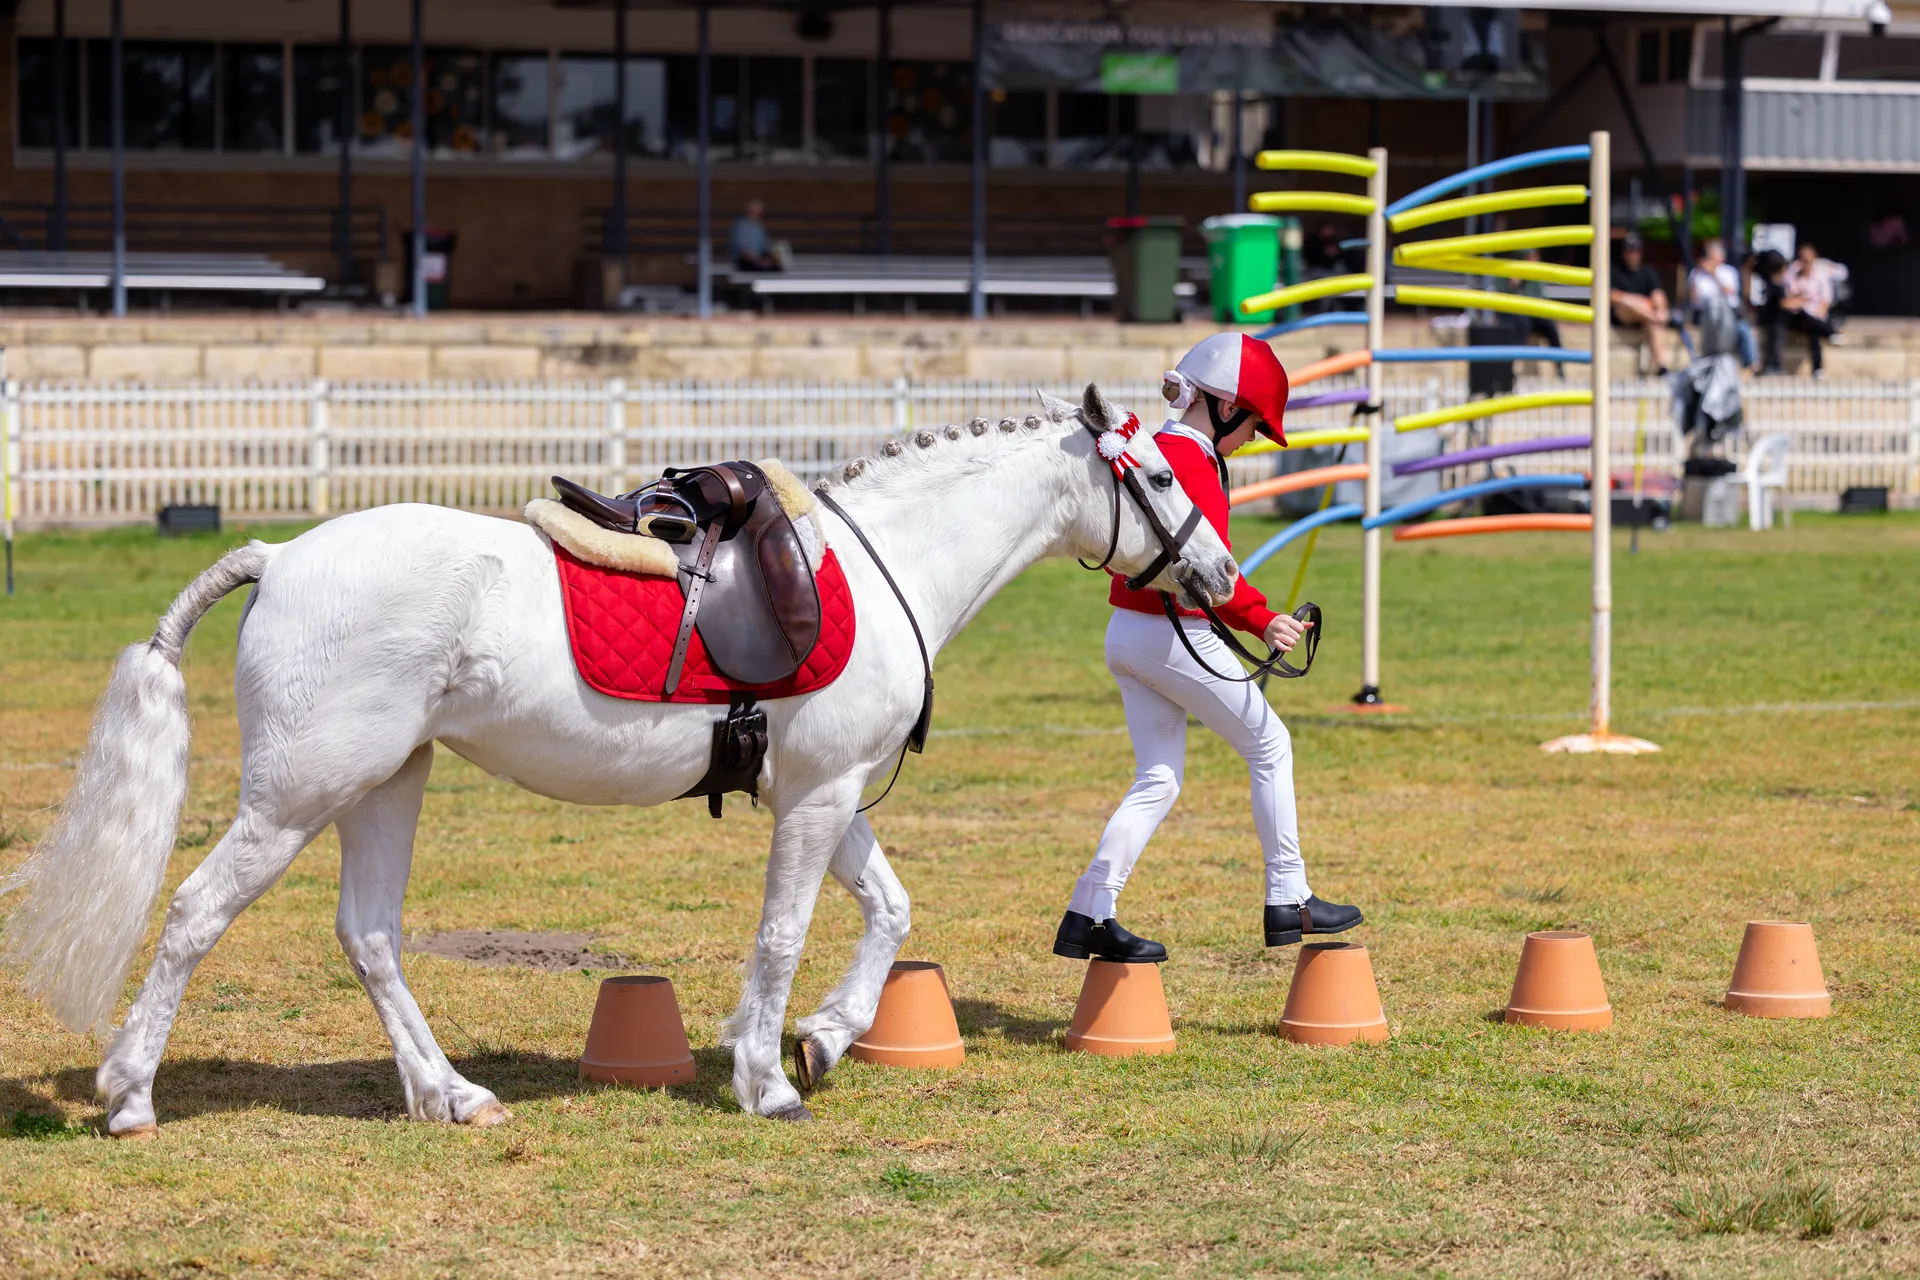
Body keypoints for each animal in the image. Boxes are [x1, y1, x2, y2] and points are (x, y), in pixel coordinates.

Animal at [1, 385, 1239, 1134]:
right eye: (1161, 479)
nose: (1223, 579)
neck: (882, 561)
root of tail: (282, 552)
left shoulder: (826, 794)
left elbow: (889, 909)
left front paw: (825, 1038)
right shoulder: (816, 800)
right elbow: (785, 931)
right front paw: (765, 1079)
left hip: (384, 783)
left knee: (370, 936)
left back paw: (449, 1092)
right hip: (297, 794)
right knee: (195, 913)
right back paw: (129, 1093)